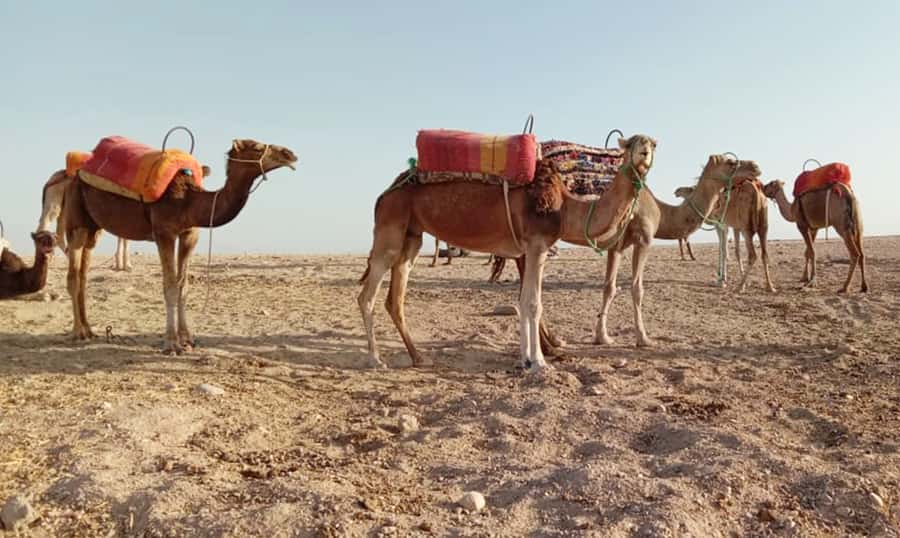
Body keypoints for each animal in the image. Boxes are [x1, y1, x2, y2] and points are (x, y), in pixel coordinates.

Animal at [63, 139, 297, 353]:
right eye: (257, 147)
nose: (290, 154)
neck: (188, 202)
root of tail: (78, 172)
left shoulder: (189, 234)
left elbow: (183, 285)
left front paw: (187, 339)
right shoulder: (164, 233)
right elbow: (170, 286)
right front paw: (171, 343)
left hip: (94, 227)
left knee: (84, 273)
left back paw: (89, 329)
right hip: (77, 220)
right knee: (74, 275)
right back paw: (78, 332)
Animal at [359, 134, 657, 372]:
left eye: (653, 143)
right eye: (631, 142)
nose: (644, 151)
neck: (565, 207)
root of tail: (385, 193)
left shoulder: (532, 249)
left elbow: (525, 301)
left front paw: (527, 359)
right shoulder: (537, 245)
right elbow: (533, 303)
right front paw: (539, 362)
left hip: (411, 236)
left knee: (395, 299)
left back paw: (418, 357)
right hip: (390, 228)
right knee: (367, 295)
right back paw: (375, 360)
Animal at [499, 155, 761, 353]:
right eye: (730, 161)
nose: (755, 167)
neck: (661, 212)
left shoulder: (616, 246)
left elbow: (609, 287)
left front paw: (601, 336)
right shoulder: (644, 239)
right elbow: (636, 288)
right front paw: (643, 338)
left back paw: (551, 341)